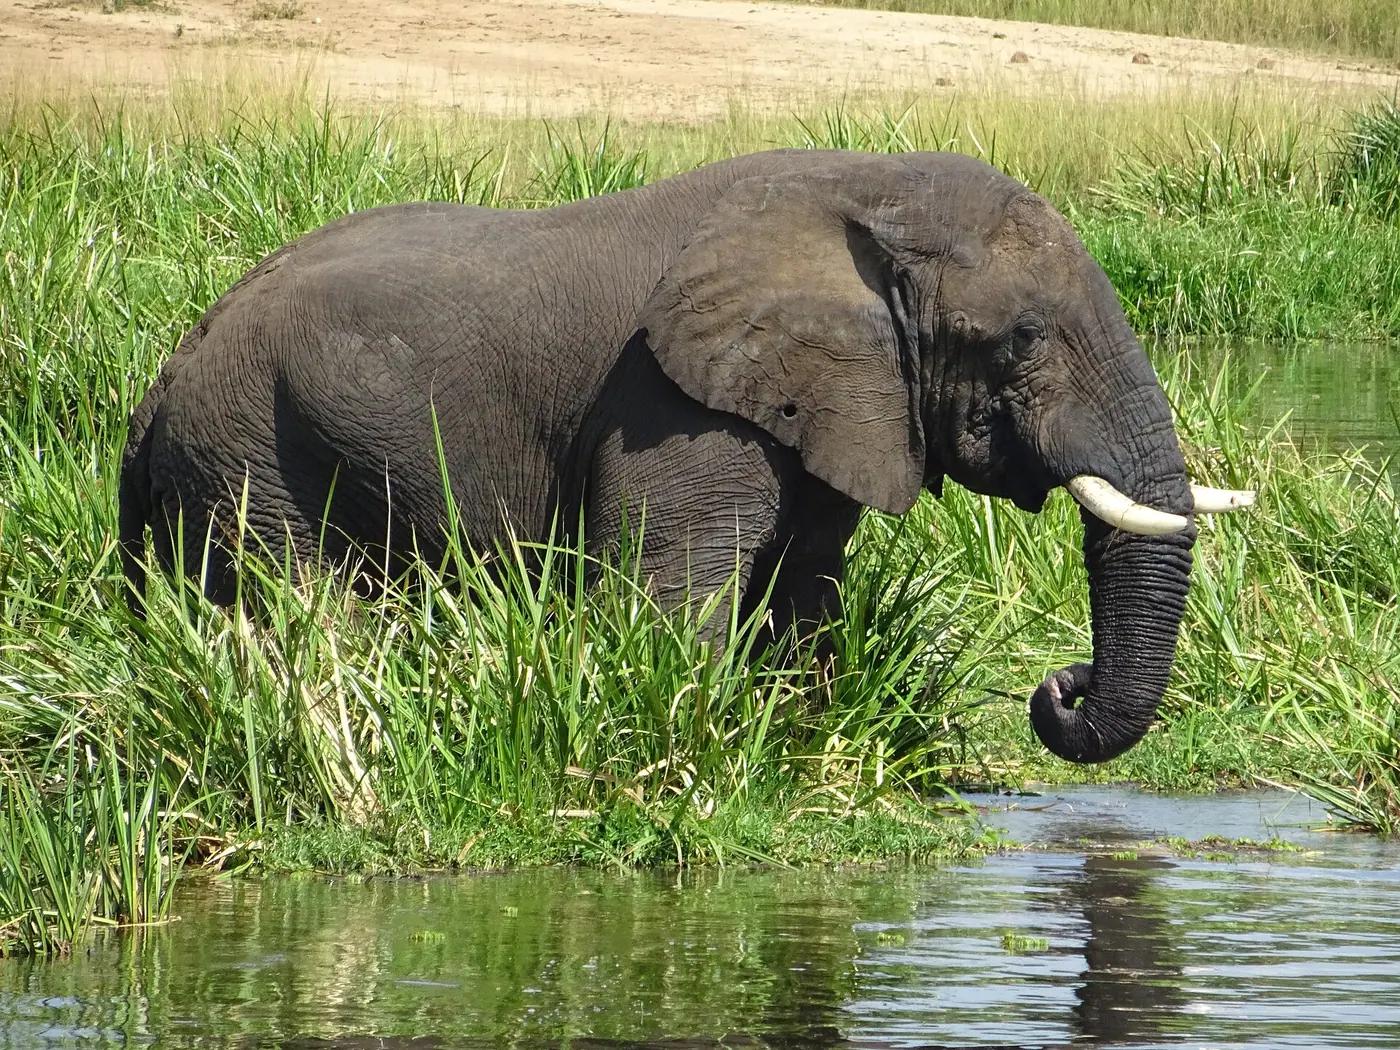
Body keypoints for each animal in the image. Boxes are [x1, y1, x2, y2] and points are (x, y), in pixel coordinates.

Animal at [118, 148, 1252, 764]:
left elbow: (806, 589)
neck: (863, 187)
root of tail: (163, 379)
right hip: (250, 456)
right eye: (1020, 340)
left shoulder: (831, 401)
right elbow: (670, 596)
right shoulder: (673, 406)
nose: (1060, 687)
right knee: (305, 614)